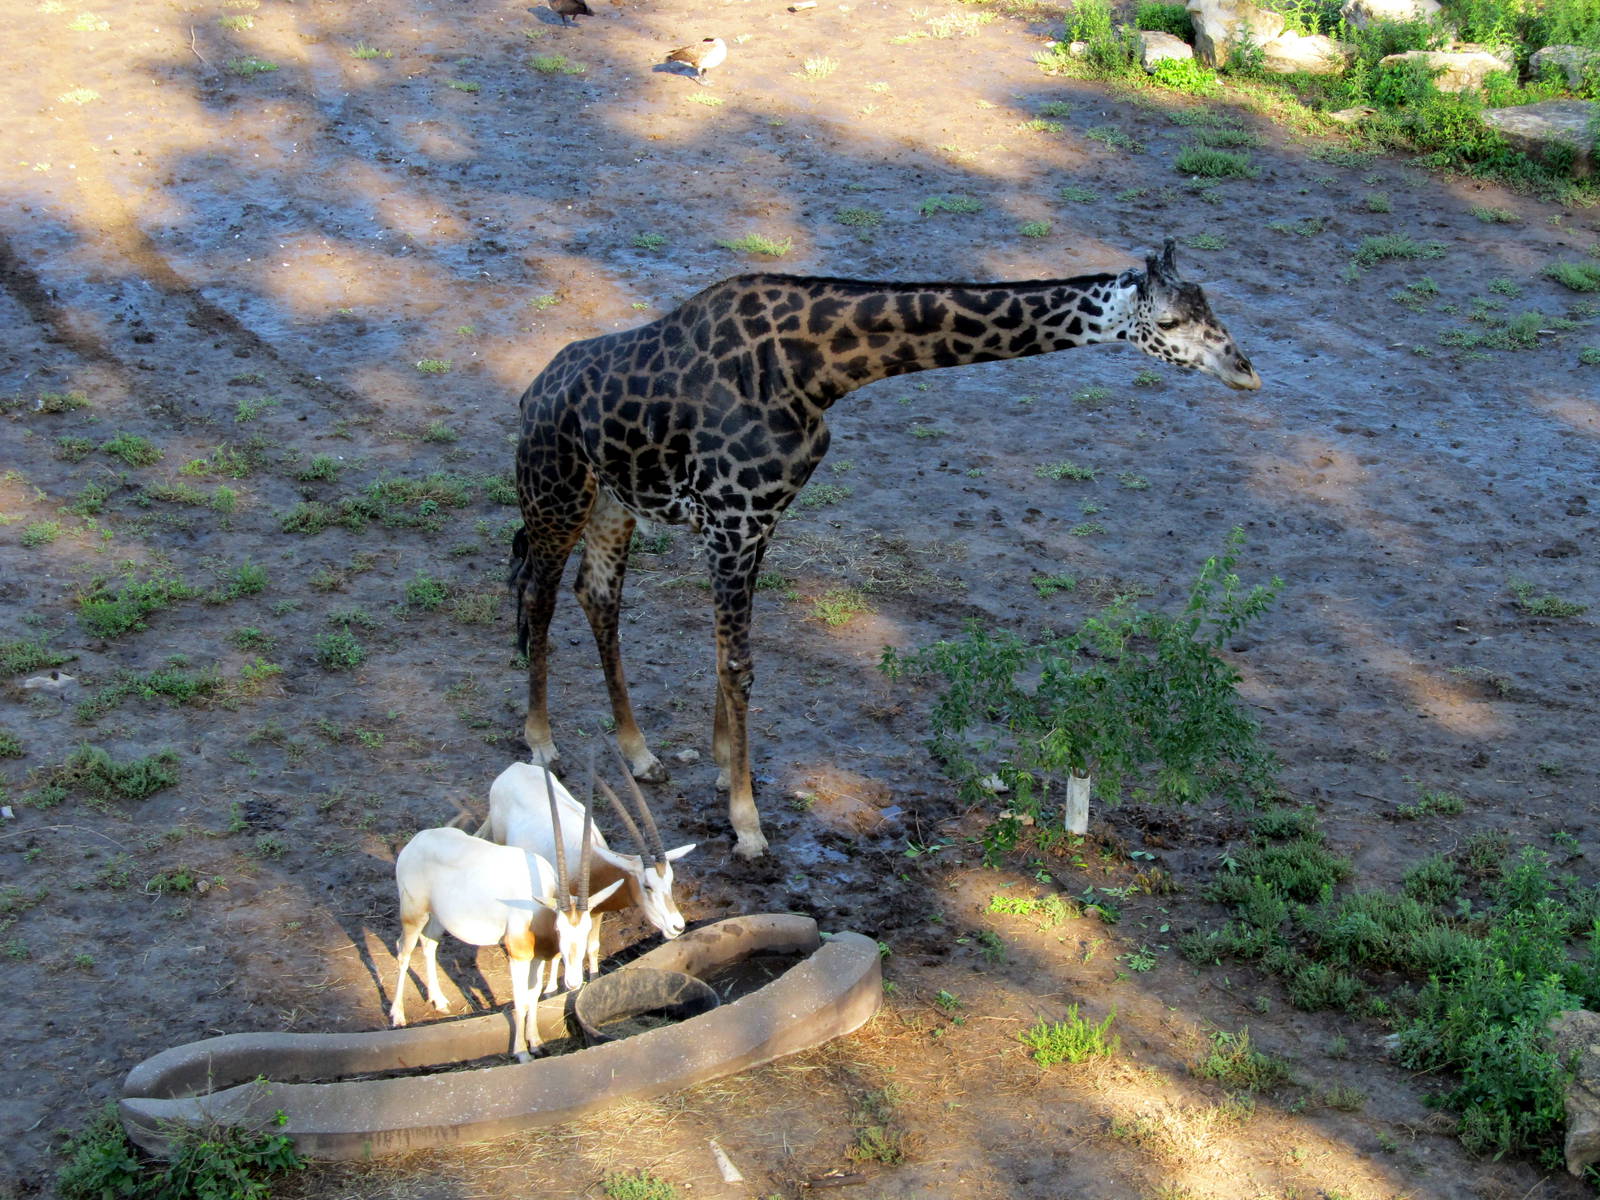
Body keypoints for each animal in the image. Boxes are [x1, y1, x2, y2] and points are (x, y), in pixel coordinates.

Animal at [510, 239, 1260, 858]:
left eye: (1211, 306)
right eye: (1171, 323)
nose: (1246, 372)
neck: (817, 371)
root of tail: (531, 392)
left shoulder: (755, 522)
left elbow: (726, 655)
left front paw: (724, 767)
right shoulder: (733, 518)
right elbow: (738, 664)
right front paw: (747, 823)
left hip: (613, 499)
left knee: (596, 594)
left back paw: (639, 754)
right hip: (558, 490)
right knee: (540, 591)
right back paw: (542, 741)